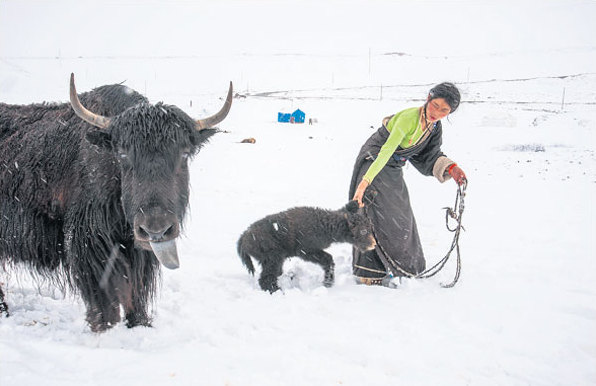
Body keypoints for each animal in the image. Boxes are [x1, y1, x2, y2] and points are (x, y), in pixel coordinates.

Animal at [236, 202, 372, 292]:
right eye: (363, 231)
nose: (373, 244)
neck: (325, 225)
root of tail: (243, 237)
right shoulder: (306, 252)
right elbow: (328, 259)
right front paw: (328, 283)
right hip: (273, 258)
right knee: (266, 278)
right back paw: (278, 290)